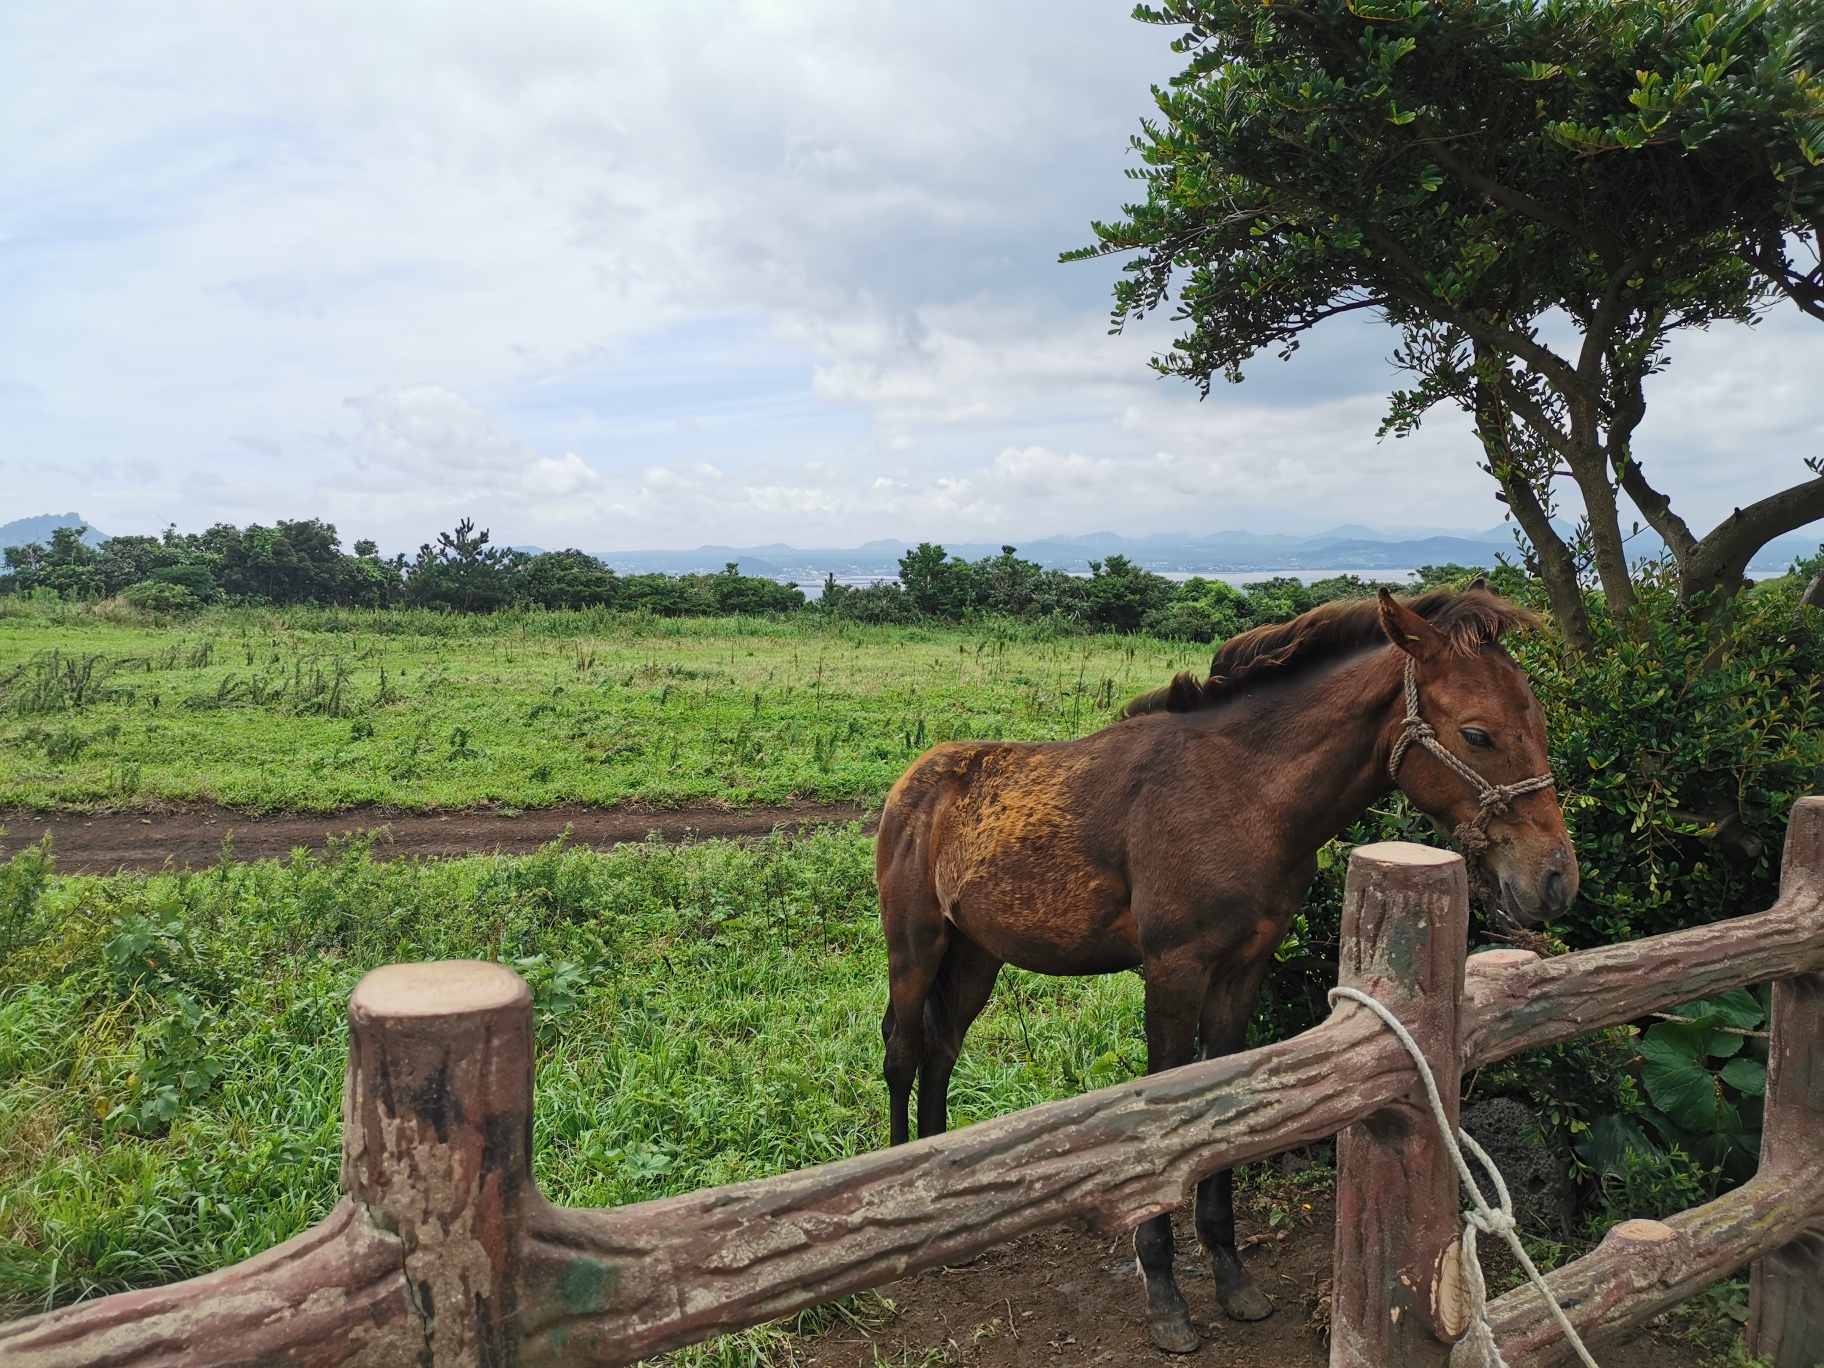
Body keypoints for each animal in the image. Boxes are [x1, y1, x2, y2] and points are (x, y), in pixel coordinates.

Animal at [875, 590, 1575, 1364]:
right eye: (1478, 734)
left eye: (1539, 724)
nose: (1554, 881)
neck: (1241, 794)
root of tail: (915, 781)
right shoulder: (1173, 968)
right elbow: (1168, 1108)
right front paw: (1165, 1299)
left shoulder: (1242, 971)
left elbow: (1227, 1109)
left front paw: (1233, 1279)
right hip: (915, 949)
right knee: (904, 1053)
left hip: (977, 956)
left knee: (941, 1052)